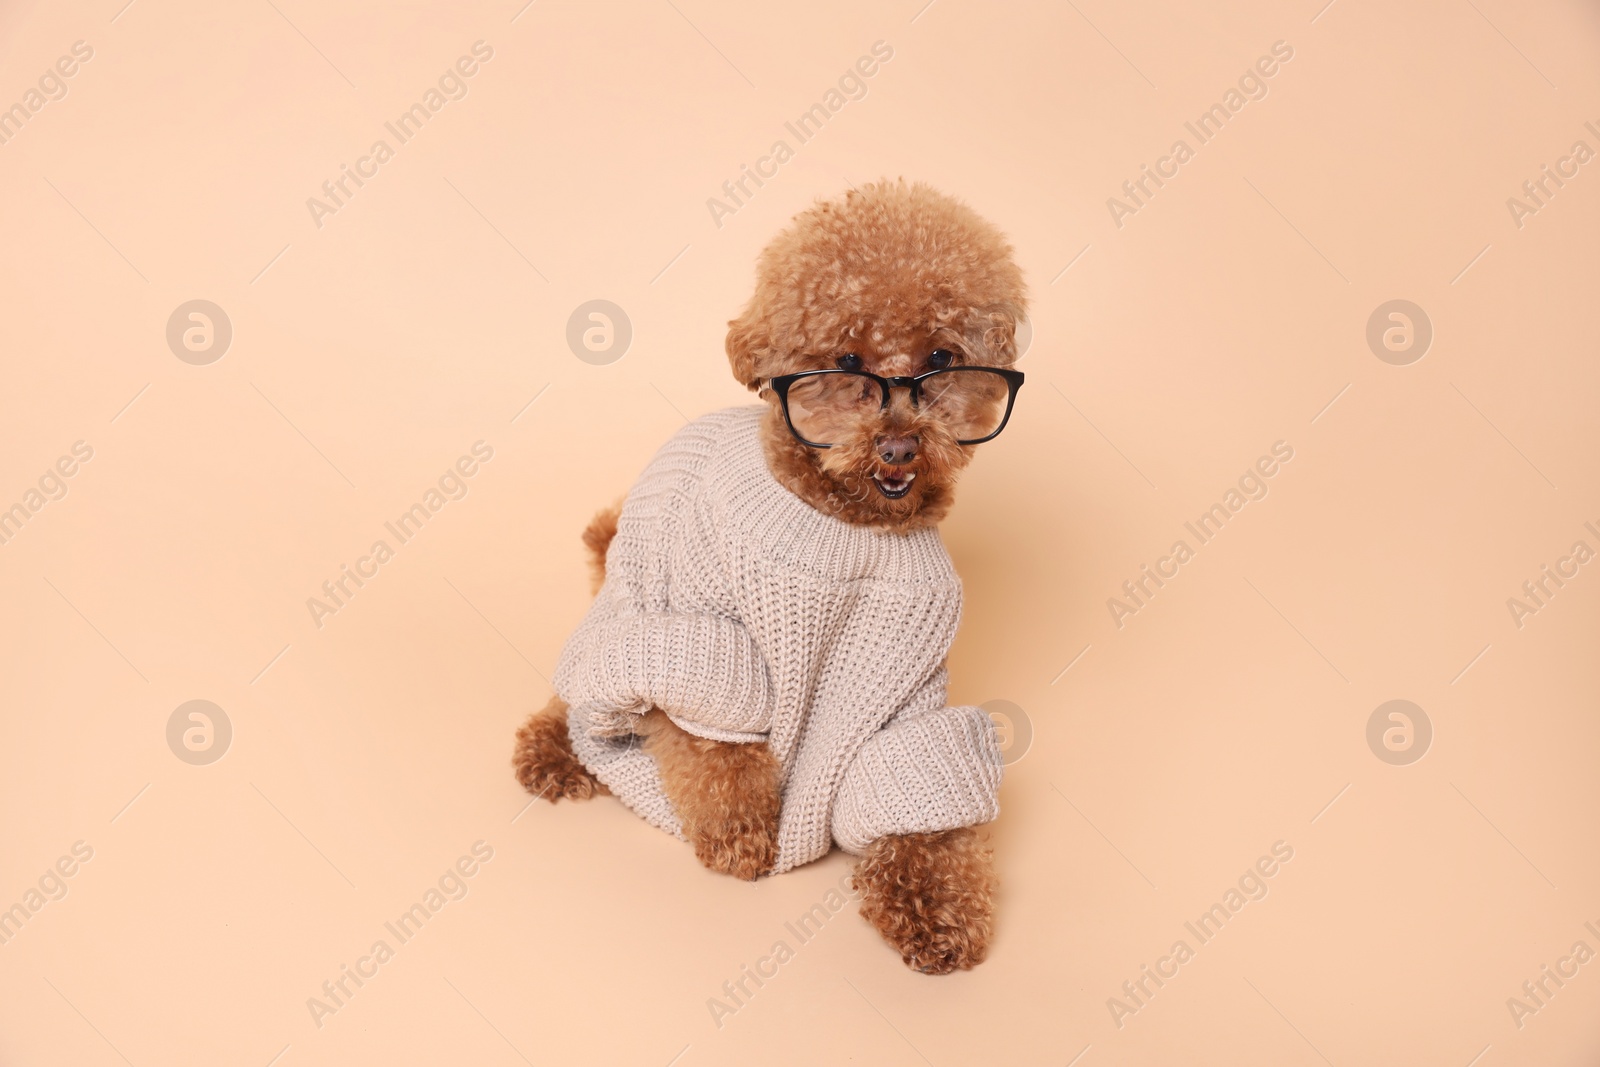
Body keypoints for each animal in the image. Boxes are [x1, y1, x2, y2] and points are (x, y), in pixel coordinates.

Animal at [518, 183, 1030, 979]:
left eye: (942, 357)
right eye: (846, 359)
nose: (899, 445)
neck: (843, 522)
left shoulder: (906, 680)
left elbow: (919, 799)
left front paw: (937, 911)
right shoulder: (707, 641)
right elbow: (715, 748)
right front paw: (741, 840)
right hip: (631, 615)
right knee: (581, 692)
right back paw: (553, 751)